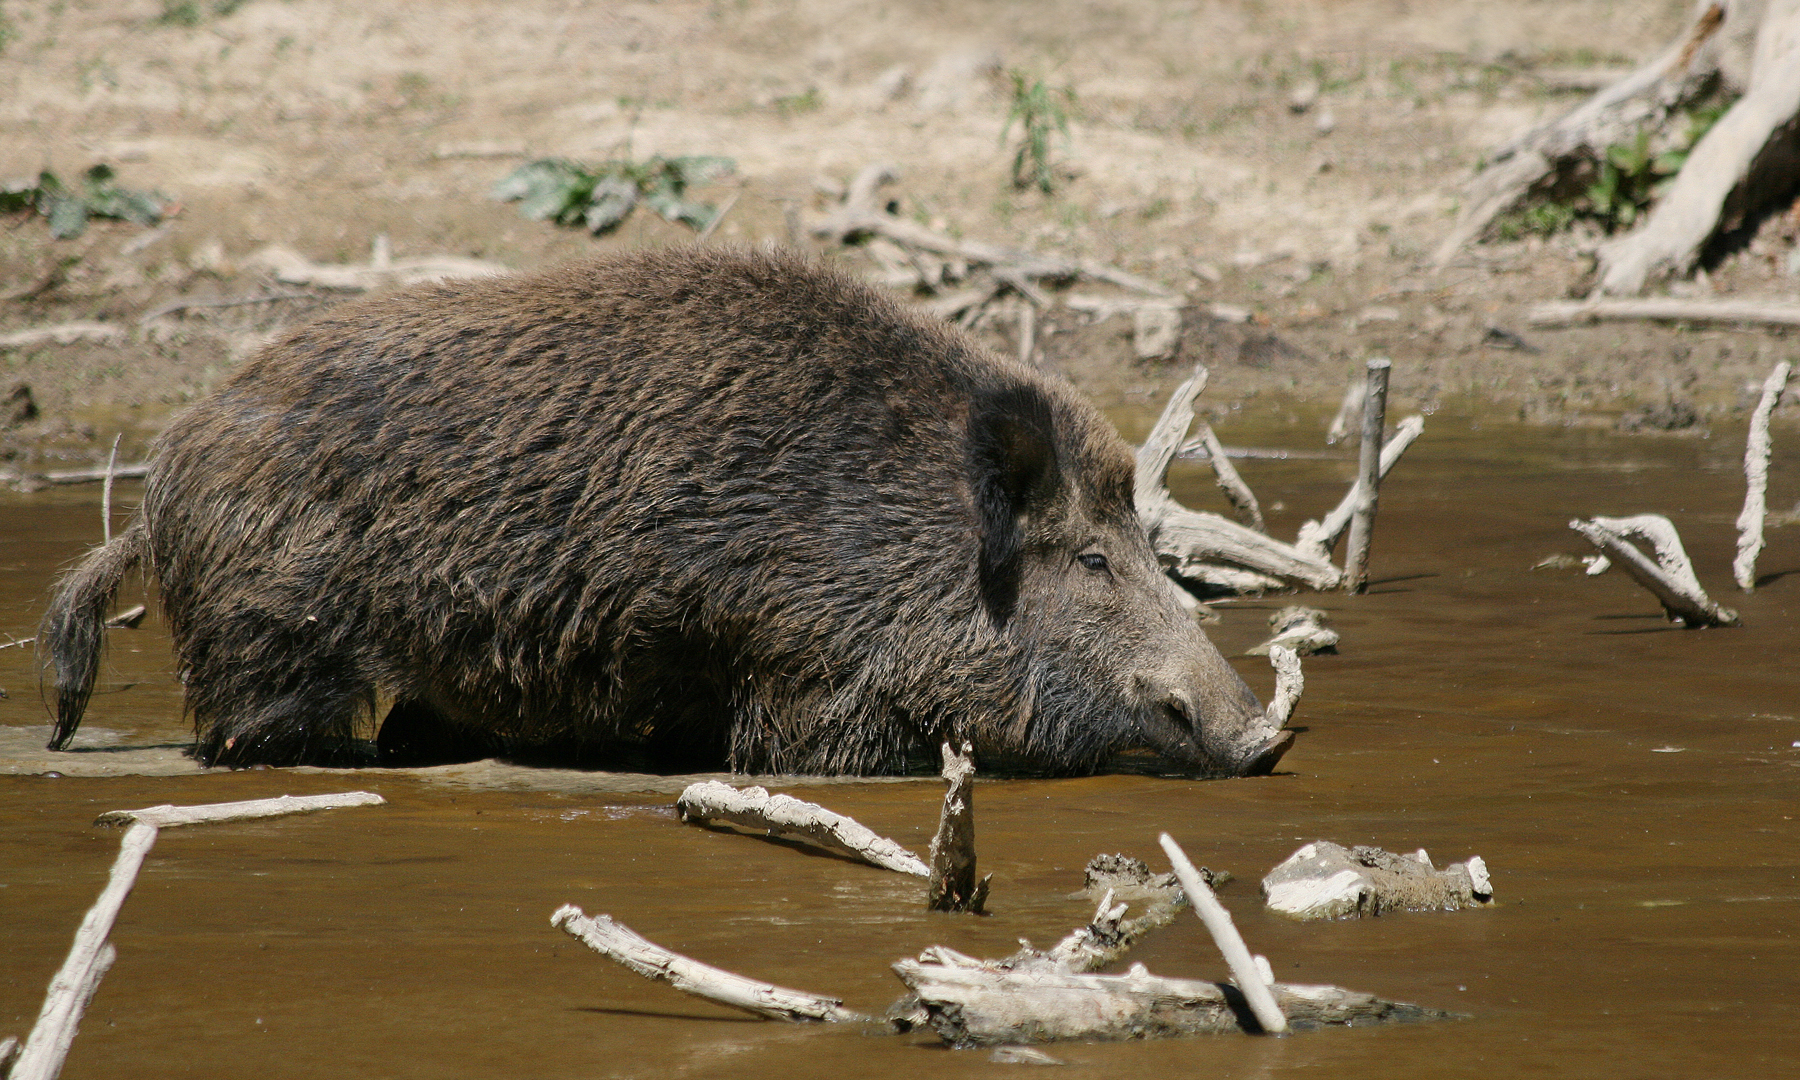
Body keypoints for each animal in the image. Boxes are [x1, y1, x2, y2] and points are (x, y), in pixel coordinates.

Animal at [41, 246, 1293, 776]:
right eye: (1091, 560)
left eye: (1142, 545)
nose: (1266, 736)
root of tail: (164, 475)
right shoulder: (806, 674)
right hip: (272, 630)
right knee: (260, 726)